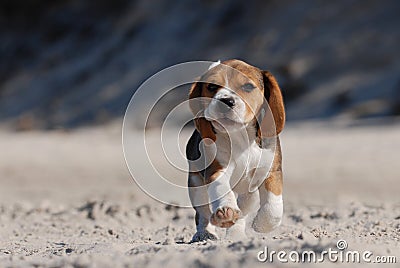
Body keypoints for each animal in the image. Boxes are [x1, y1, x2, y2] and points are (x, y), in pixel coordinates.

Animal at [187, 59, 284, 241]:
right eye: (211, 86)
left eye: (248, 86)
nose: (226, 101)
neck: (240, 134)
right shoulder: (216, 170)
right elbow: (222, 190)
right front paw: (226, 210)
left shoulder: (270, 170)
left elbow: (273, 206)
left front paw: (262, 224)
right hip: (195, 185)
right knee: (202, 214)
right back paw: (204, 233)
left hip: (250, 194)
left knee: (244, 210)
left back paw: (236, 233)